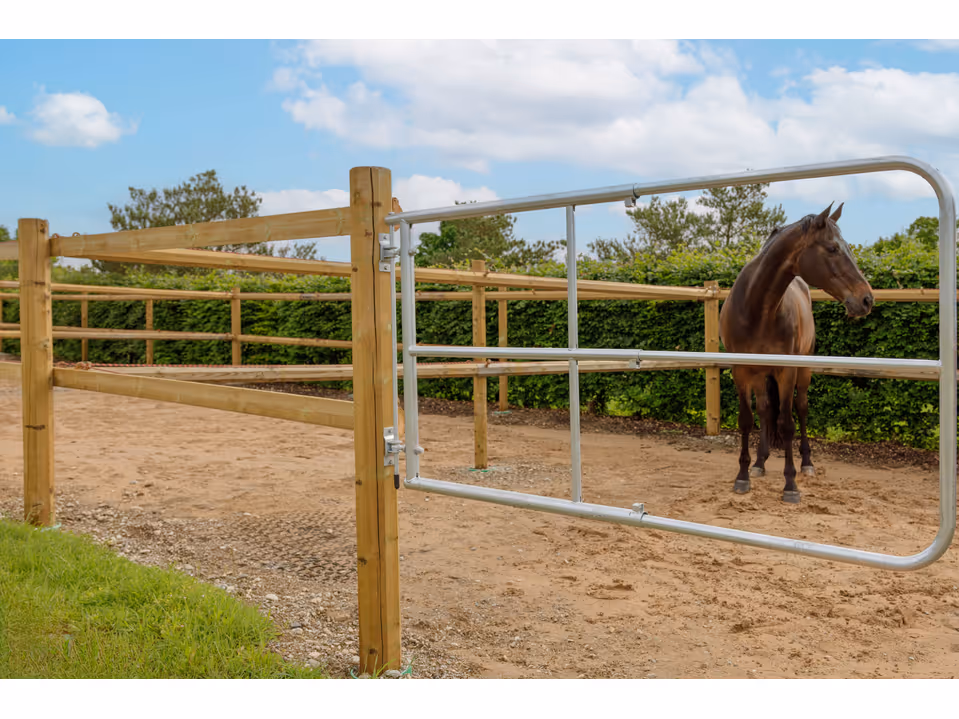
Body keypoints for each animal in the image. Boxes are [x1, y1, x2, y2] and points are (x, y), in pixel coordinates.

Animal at [718, 202, 874, 504]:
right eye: (832, 248)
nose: (867, 299)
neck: (757, 309)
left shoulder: (786, 371)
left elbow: (787, 423)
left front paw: (790, 484)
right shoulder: (740, 371)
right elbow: (747, 420)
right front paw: (743, 476)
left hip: (803, 372)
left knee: (801, 409)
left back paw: (806, 464)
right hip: (760, 375)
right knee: (765, 410)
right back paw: (760, 463)